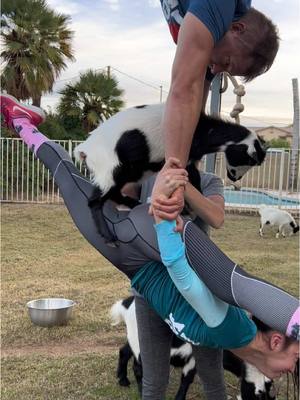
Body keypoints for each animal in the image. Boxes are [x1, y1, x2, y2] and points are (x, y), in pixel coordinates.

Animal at [74, 101, 266, 208]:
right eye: (249, 160)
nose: (235, 178)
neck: (204, 129)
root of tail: (85, 148)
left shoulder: (191, 159)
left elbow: (195, 177)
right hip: (118, 165)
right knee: (107, 191)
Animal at [110, 296, 276, 400]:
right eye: (259, 394)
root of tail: (127, 303)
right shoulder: (193, 358)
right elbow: (186, 380)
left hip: (134, 338)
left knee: (124, 351)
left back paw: (123, 380)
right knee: (139, 369)